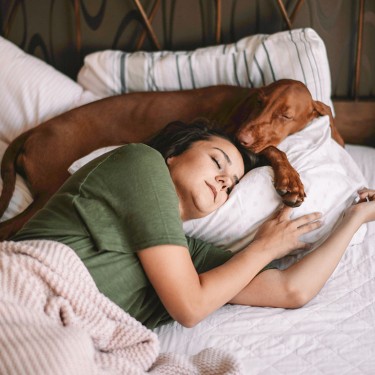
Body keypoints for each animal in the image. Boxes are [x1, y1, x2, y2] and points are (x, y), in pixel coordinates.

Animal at [0, 78, 346, 241]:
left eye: (285, 115)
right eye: (260, 101)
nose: (243, 138)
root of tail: (34, 130)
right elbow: (274, 149)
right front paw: (290, 180)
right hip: (51, 190)